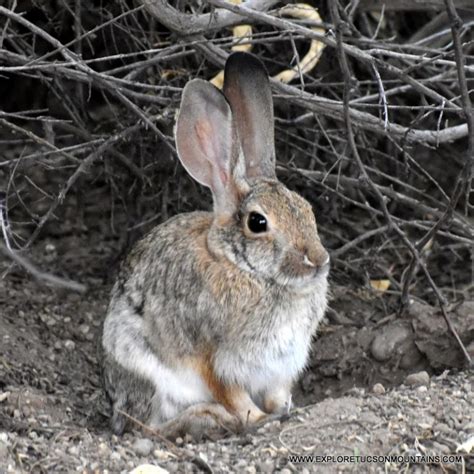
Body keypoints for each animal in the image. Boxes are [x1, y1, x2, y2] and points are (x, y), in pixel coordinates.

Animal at [101, 50, 330, 438]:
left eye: (307, 209)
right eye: (258, 223)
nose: (318, 260)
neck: (248, 271)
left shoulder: (281, 366)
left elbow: (277, 393)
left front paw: (286, 409)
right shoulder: (218, 360)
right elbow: (236, 397)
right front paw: (258, 420)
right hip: (148, 373)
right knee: (145, 428)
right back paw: (207, 418)